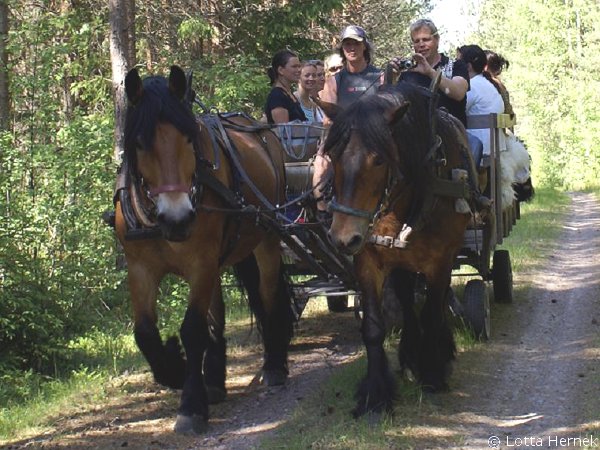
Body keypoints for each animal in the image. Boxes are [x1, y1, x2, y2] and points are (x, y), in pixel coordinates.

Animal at [114, 65, 292, 434]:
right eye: (139, 143)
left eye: (188, 137)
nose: (178, 217)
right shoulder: (140, 268)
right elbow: (145, 333)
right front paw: (176, 369)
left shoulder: (201, 263)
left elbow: (193, 330)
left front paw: (191, 405)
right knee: (217, 315)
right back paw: (214, 380)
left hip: (265, 239)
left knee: (268, 297)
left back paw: (274, 364)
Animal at [324, 82, 474, 416]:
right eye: (333, 155)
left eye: (379, 160)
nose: (343, 238)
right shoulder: (368, 259)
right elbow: (373, 327)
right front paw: (375, 395)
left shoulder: (439, 263)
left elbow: (432, 313)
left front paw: (432, 374)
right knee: (406, 299)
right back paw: (408, 355)